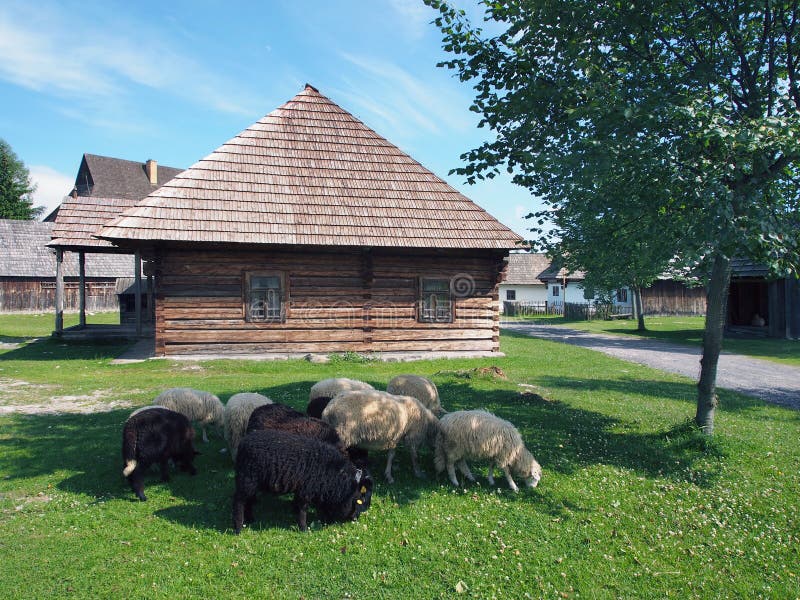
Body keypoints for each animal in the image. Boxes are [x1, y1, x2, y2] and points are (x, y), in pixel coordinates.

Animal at [233, 428, 374, 532]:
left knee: (248, 500)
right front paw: (304, 528)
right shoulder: (306, 490)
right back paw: (238, 528)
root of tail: (243, 442)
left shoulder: (319, 488)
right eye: (360, 498)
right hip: (247, 478)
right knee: (239, 502)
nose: (355, 519)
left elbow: (320, 505)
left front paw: (325, 519)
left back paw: (250, 519)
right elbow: (303, 510)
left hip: (252, 482)